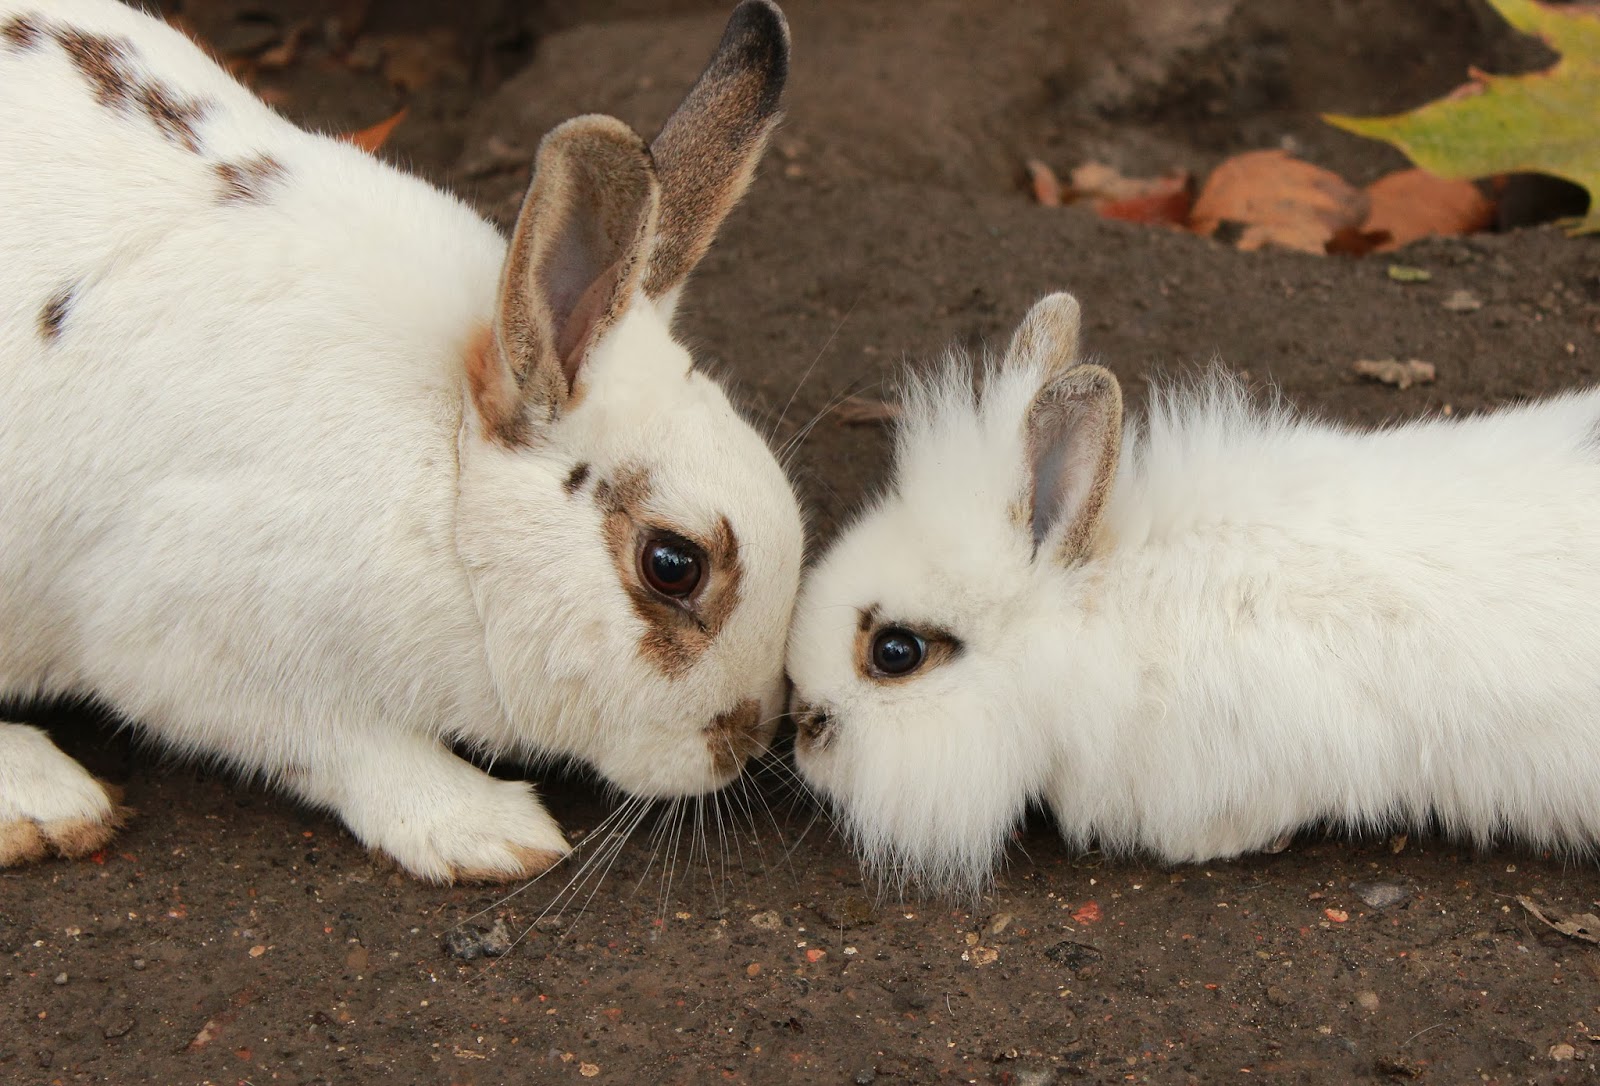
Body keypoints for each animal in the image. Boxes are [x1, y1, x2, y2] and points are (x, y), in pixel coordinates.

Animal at [0, 0, 804, 883]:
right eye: (672, 565)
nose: (748, 739)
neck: (449, 481)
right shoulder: (183, 638)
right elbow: (348, 744)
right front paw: (488, 830)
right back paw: (46, 801)